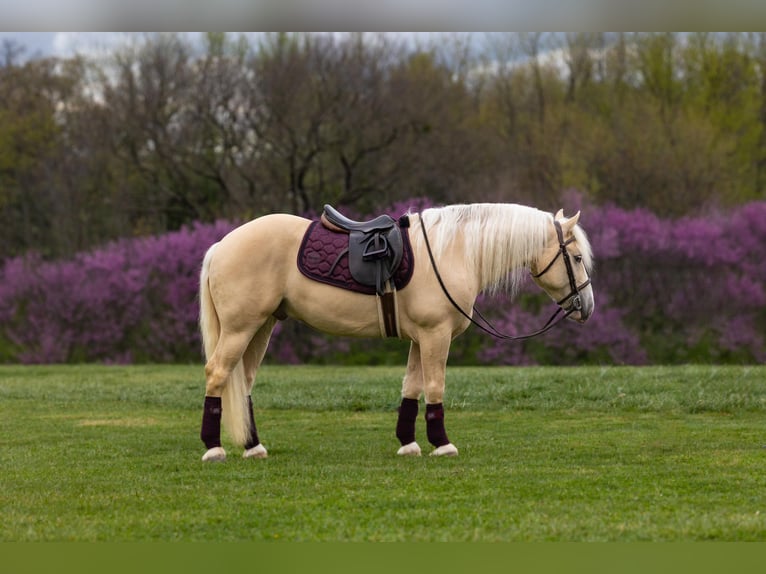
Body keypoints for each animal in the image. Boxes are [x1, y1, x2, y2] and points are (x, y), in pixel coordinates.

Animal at [197, 203, 594, 461]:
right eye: (575, 258)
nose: (586, 307)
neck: (454, 252)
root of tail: (221, 245)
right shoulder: (436, 336)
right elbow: (434, 387)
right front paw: (442, 443)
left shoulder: (422, 339)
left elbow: (411, 388)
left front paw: (408, 443)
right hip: (241, 328)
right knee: (218, 374)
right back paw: (214, 448)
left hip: (260, 327)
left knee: (243, 382)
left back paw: (253, 447)